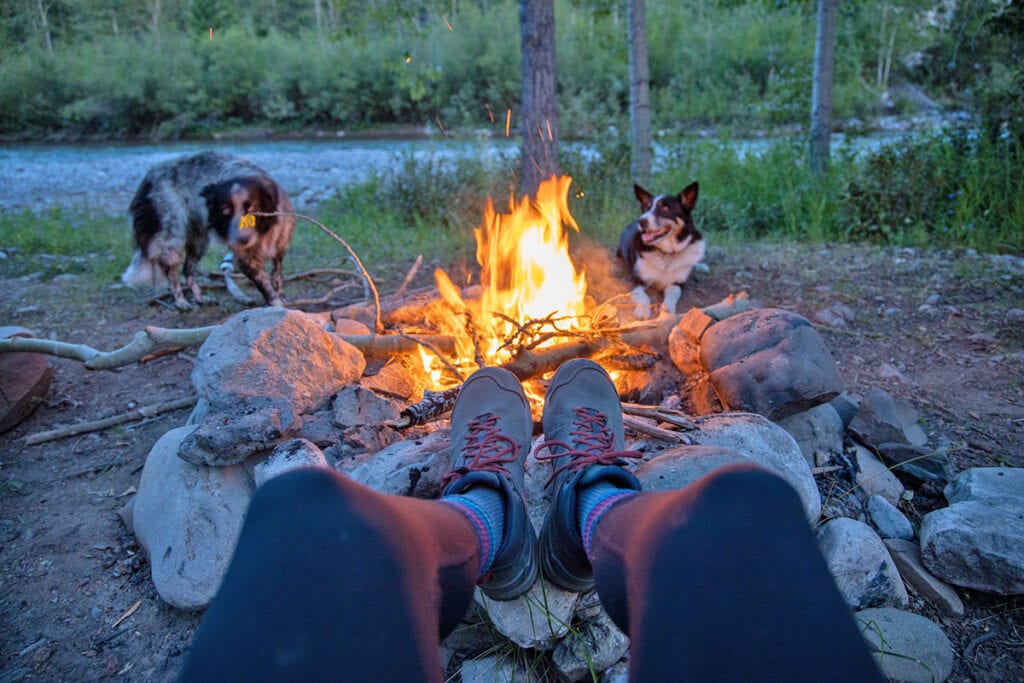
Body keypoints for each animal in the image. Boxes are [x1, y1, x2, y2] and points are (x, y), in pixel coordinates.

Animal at [122, 152, 296, 309]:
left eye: (252, 209)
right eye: (225, 210)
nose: (241, 240)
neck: (262, 234)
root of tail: (149, 177)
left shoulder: (279, 246)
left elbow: (276, 275)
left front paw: (280, 295)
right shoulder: (245, 258)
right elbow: (264, 284)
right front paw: (276, 304)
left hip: (198, 241)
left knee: (188, 270)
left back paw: (199, 298)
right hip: (171, 237)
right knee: (172, 272)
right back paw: (180, 301)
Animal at [614, 183, 704, 319]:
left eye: (665, 208)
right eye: (646, 208)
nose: (641, 221)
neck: (666, 254)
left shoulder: (678, 283)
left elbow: (673, 293)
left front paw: (667, 309)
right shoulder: (636, 280)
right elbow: (643, 296)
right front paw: (643, 310)